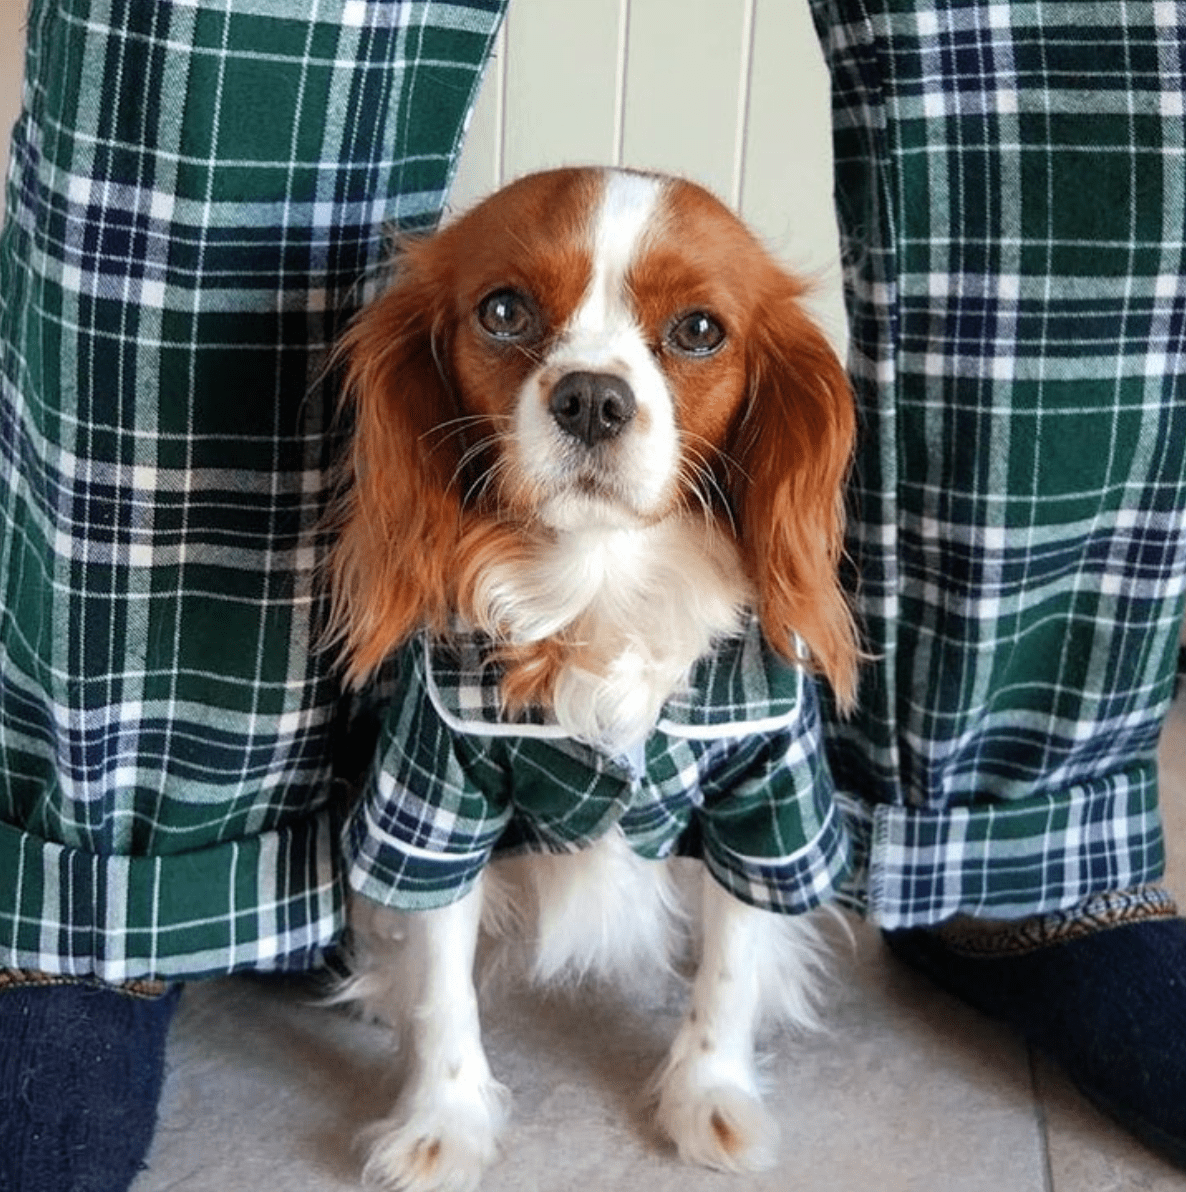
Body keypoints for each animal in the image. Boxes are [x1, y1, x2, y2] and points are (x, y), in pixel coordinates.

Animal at [328, 168, 858, 1192]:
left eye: (699, 329)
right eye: (504, 311)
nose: (591, 399)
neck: (601, 586)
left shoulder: (765, 792)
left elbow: (733, 958)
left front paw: (710, 1095)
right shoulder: (436, 793)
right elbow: (442, 979)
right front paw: (443, 1122)